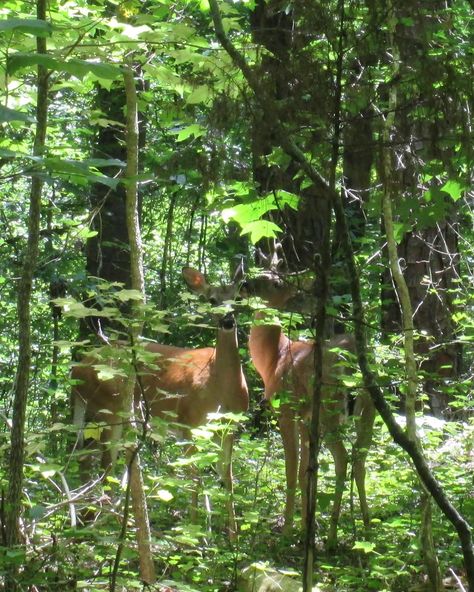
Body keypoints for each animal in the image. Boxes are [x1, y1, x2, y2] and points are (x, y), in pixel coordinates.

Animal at [239, 270, 376, 548]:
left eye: (277, 283)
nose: (245, 284)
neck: (274, 359)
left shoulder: (287, 410)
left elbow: (291, 470)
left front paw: (288, 531)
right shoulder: (306, 418)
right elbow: (306, 472)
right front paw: (306, 526)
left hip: (329, 407)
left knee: (343, 457)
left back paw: (333, 536)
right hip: (370, 408)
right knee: (360, 458)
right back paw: (366, 527)